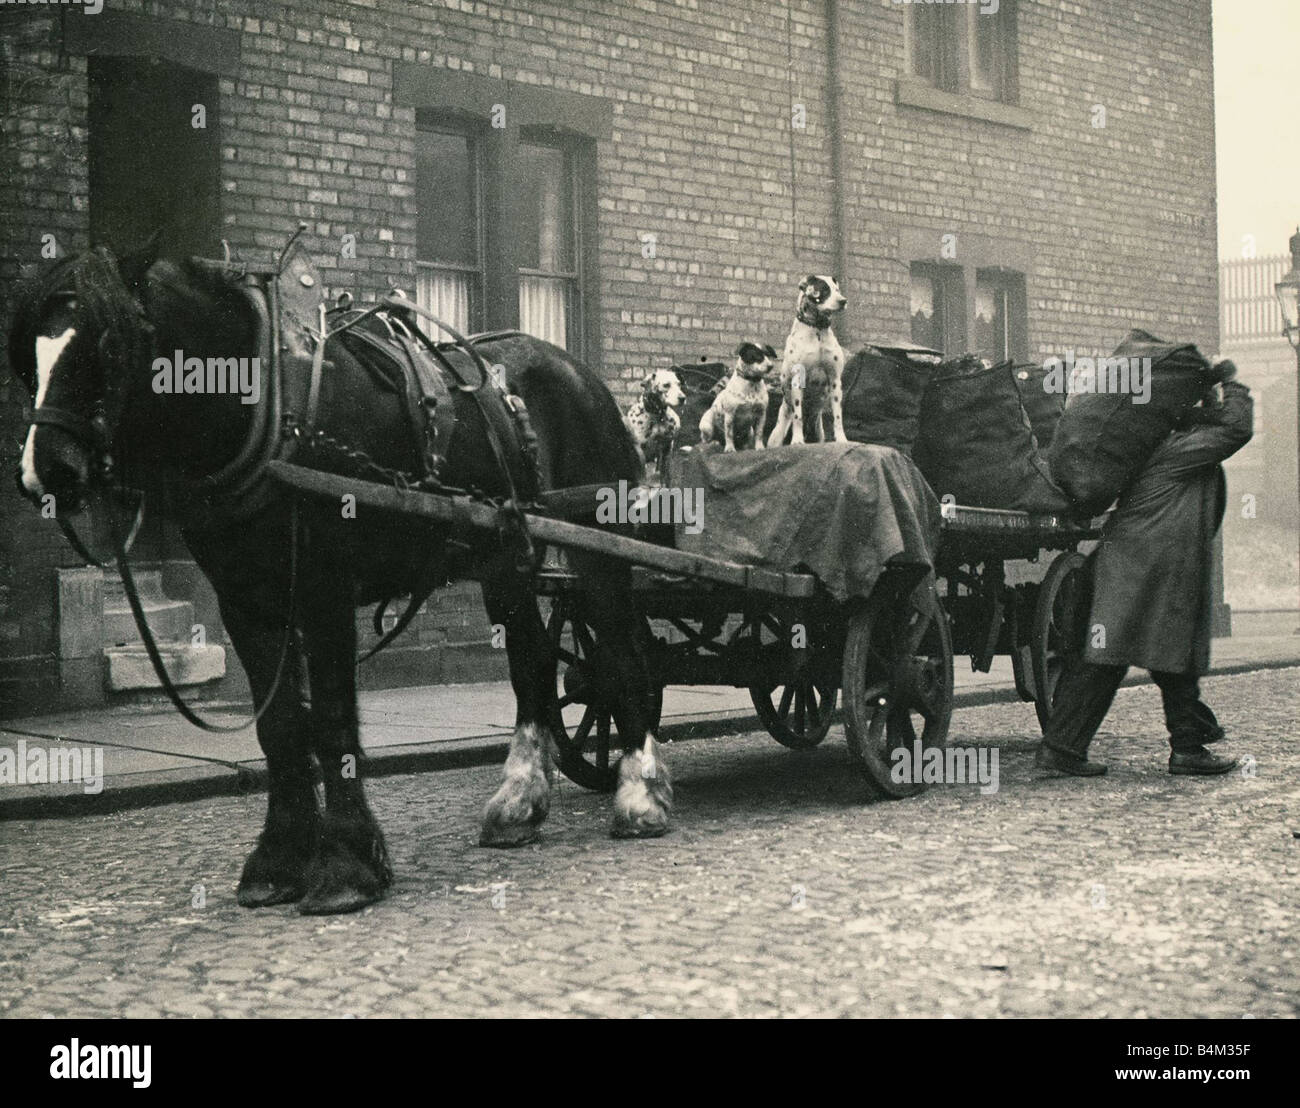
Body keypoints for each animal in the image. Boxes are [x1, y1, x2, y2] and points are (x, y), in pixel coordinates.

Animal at [10, 244, 676, 915]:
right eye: (27, 356)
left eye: (109, 342)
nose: (46, 472)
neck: (271, 409)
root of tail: (577, 370)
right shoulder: (245, 601)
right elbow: (281, 726)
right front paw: (276, 862)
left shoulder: (324, 588)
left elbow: (331, 721)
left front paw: (346, 867)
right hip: (506, 557)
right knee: (533, 662)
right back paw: (518, 803)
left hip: (597, 548)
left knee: (623, 655)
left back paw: (639, 796)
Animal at [764, 275, 847, 444]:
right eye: (824, 290)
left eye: (837, 290)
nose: (843, 301)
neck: (817, 330)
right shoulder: (797, 380)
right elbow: (798, 416)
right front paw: (797, 440)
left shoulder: (835, 380)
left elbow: (837, 416)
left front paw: (841, 438)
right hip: (778, 432)